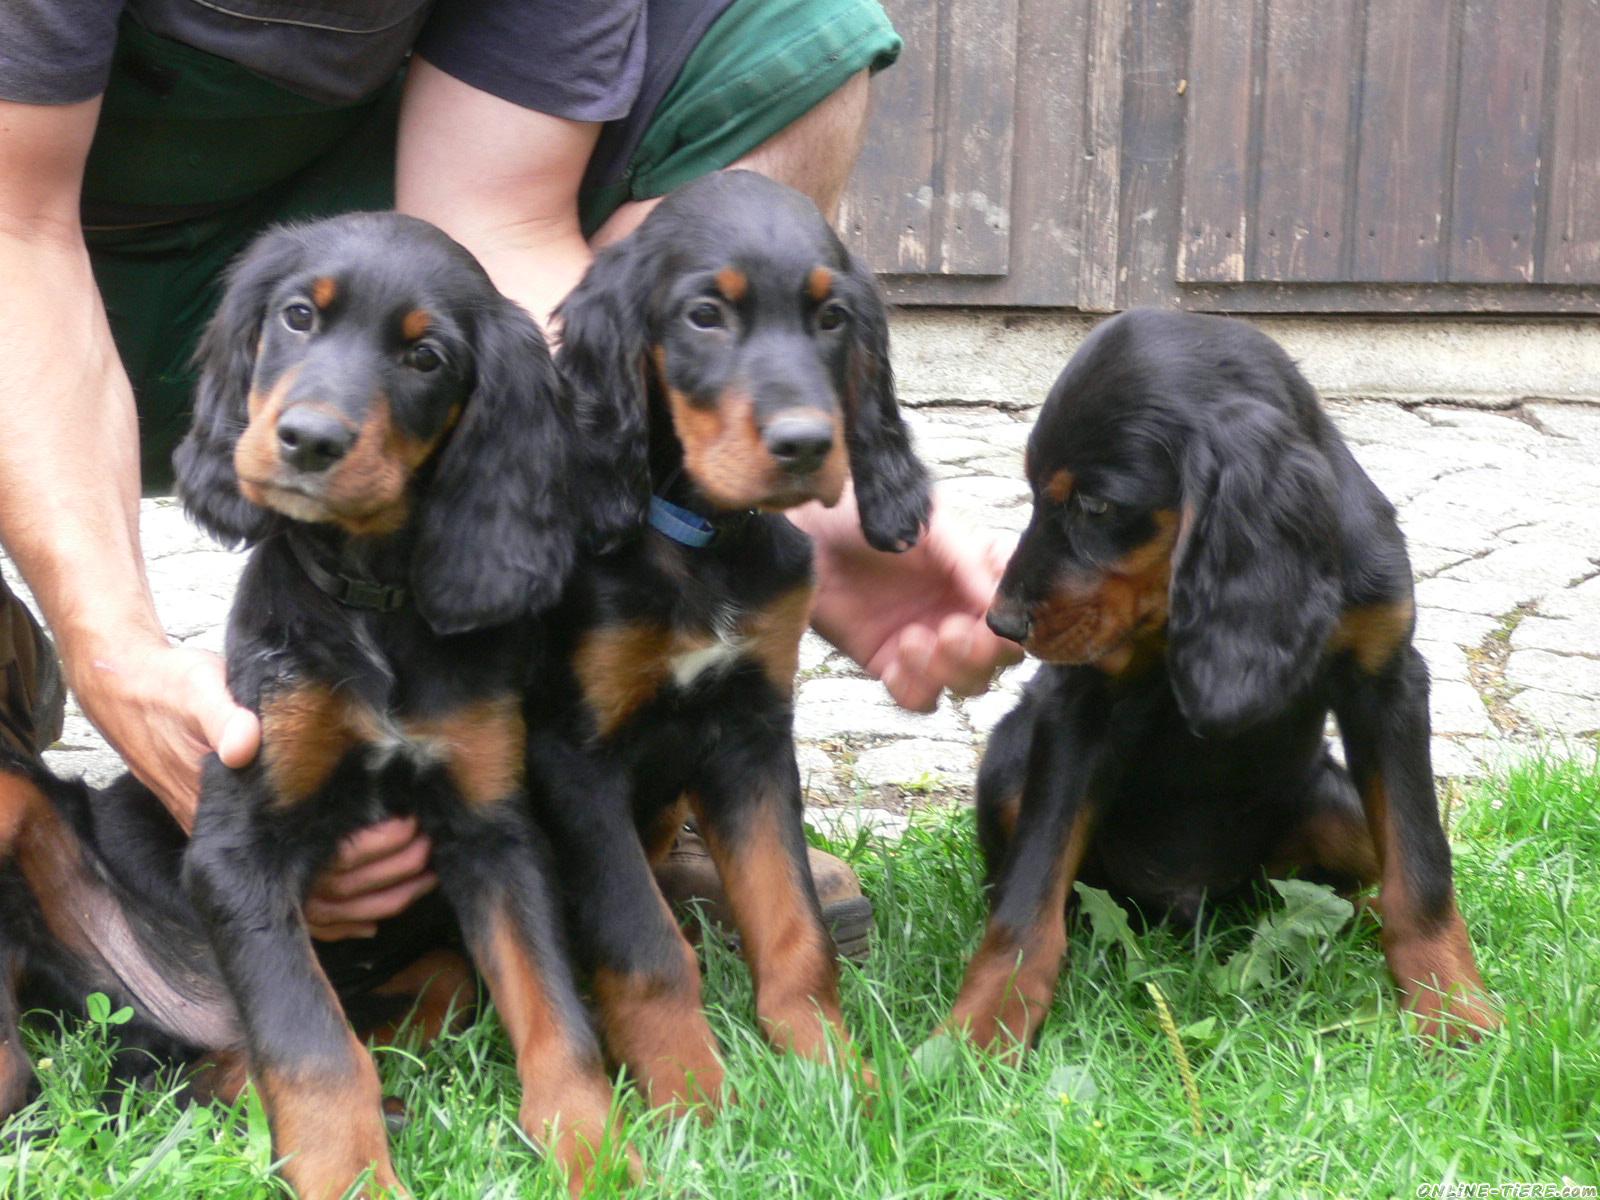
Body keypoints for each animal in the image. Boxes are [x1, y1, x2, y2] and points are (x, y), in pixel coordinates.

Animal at [524, 173, 928, 1113]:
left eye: (832, 318)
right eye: (705, 315)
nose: (806, 445)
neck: (702, 543)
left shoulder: (751, 733)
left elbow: (792, 922)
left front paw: (832, 1070)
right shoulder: (575, 758)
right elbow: (643, 946)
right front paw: (694, 1096)